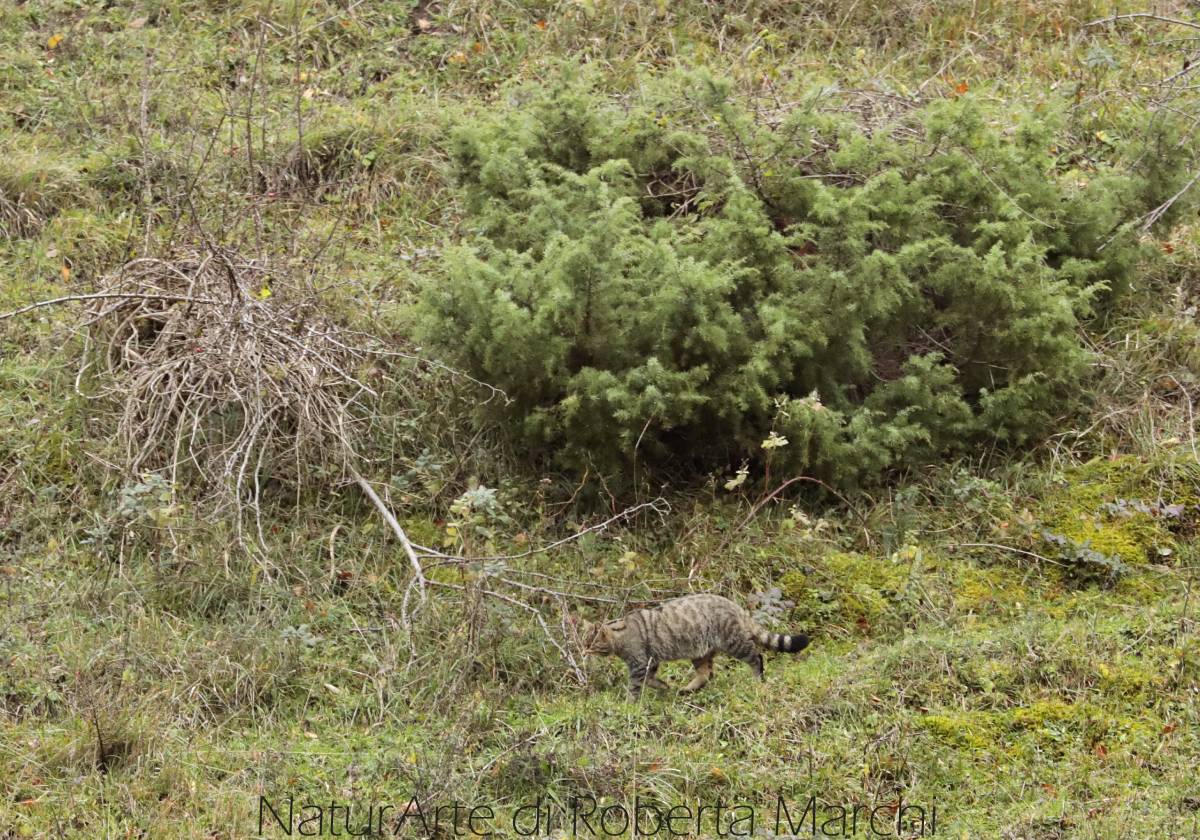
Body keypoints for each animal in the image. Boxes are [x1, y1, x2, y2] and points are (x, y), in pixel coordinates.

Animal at [578, 590, 811, 696]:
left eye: (590, 645)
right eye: (584, 643)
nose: (583, 652)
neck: (620, 635)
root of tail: (734, 605)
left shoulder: (639, 663)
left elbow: (636, 686)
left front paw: (630, 704)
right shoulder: (650, 661)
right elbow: (650, 679)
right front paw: (663, 686)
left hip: (734, 643)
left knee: (757, 657)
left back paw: (757, 680)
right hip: (700, 653)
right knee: (706, 674)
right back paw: (687, 689)